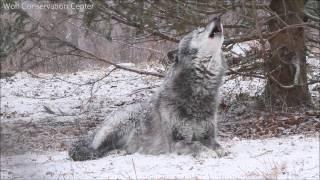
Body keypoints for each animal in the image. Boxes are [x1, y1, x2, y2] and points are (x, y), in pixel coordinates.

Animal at [69, 16, 228, 160]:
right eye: (198, 31)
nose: (218, 17)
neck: (200, 90)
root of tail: (97, 128)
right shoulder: (176, 142)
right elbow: (196, 145)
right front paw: (207, 152)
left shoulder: (208, 135)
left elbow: (216, 144)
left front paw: (219, 150)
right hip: (120, 124)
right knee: (95, 151)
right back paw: (115, 152)